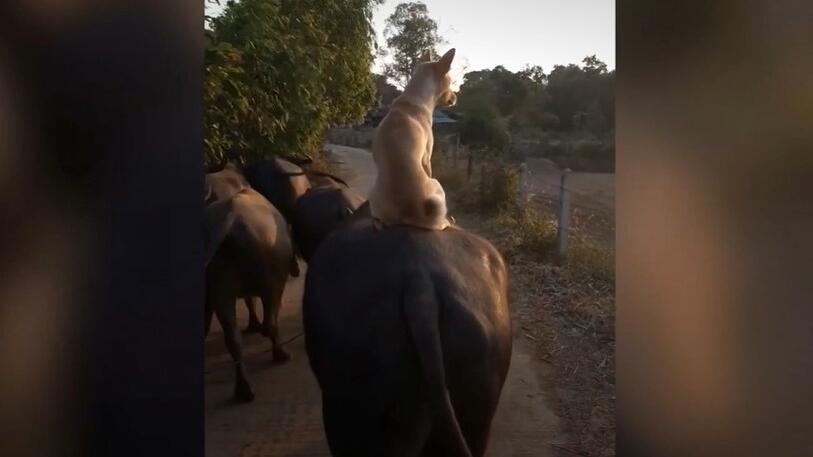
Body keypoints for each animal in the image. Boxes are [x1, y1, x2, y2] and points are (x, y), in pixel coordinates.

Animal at [205, 187, 296, 400]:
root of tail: (229, 219)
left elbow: (248, 300)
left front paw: (253, 324)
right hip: (267, 272)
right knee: (270, 321)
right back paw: (281, 354)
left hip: (219, 280)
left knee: (232, 337)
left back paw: (244, 390)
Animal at [370, 49, 456, 232]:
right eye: (450, 82)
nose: (456, 96)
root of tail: (409, 214)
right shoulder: (427, 158)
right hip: (437, 185)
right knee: (440, 222)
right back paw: (447, 220)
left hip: (373, 197)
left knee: (378, 219)